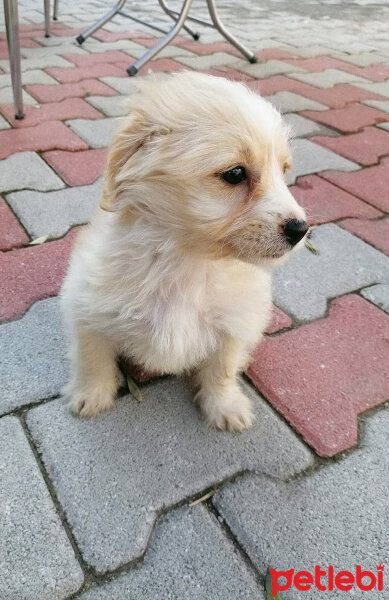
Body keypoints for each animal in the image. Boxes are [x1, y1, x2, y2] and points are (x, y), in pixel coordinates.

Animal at [61, 71, 306, 432]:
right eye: (235, 174)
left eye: (284, 170)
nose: (301, 229)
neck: (189, 261)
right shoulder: (86, 307)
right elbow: (93, 358)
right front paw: (91, 395)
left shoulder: (235, 324)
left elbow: (222, 368)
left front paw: (225, 405)